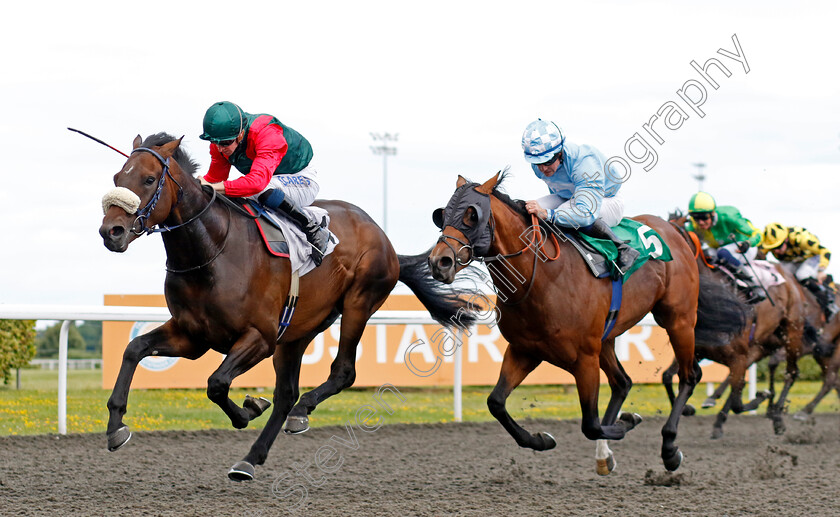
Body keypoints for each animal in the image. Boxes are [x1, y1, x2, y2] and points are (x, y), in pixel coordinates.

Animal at [426, 173, 748, 472]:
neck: (540, 278)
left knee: (689, 375)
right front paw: (541, 440)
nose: (438, 262)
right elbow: (496, 403)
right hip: (608, 336)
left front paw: (629, 421)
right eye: (441, 214)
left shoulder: (584, 358)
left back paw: (669, 448)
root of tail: (677, 230)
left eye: (471, 215)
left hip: (678, 319)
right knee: (623, 382)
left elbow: (590, 424)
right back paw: (605, 454)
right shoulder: (524, 350)